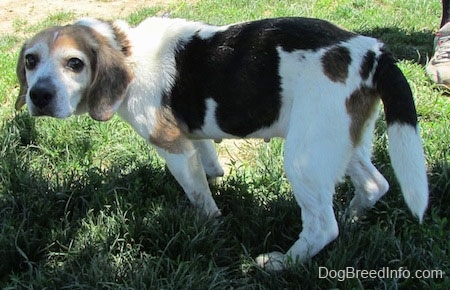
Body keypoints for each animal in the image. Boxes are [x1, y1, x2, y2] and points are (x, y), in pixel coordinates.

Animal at [14, 15, 428, 270]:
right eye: (31, 61)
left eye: (75, 63)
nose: (39, 96)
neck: (124, 47)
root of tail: (372, 51)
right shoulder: (192, 137)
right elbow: (208, 165)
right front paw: (216, 178)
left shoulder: (172, 144)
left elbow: (198, 195)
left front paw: (209, 226)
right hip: (339, 140)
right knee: (375, 184)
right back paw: (352, 217)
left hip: (304, 156)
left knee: (322, 226)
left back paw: (282, 263)